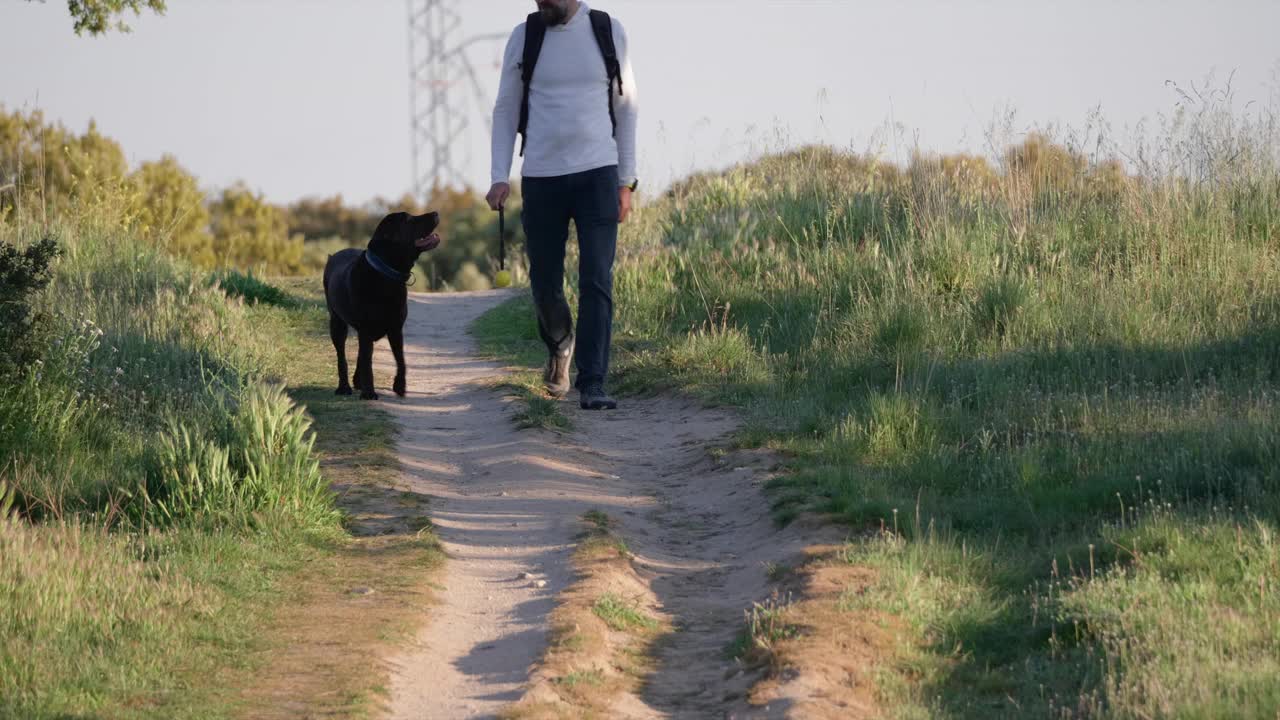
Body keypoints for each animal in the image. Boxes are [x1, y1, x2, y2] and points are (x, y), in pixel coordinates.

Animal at [322, 210, 442, 399]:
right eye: (408, 220)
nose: (436, 212)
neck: (386, 274)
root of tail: (333, 256)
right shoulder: (366, 328)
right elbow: (367, 362)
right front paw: (369, 392)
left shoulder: (395, 328)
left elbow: (400, 359)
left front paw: (399, 386)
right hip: (337, 323)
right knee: (342, 357)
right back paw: (344, 387)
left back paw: (357, 381)